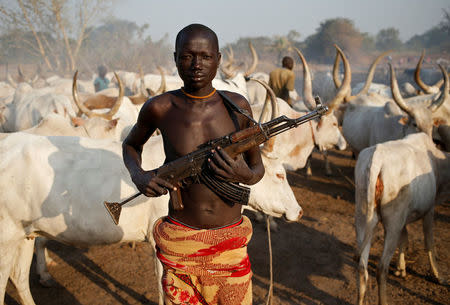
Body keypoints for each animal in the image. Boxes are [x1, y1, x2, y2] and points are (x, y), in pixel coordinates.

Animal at [356, 132, 450, 304]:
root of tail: (376, 157)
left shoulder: (403, 219)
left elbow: (404, 238)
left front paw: (401, 269)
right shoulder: (429, 209)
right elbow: (429, 242)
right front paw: (439, 277)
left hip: (363, 217)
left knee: (362, 266)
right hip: (392, 222)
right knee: (381, 268)